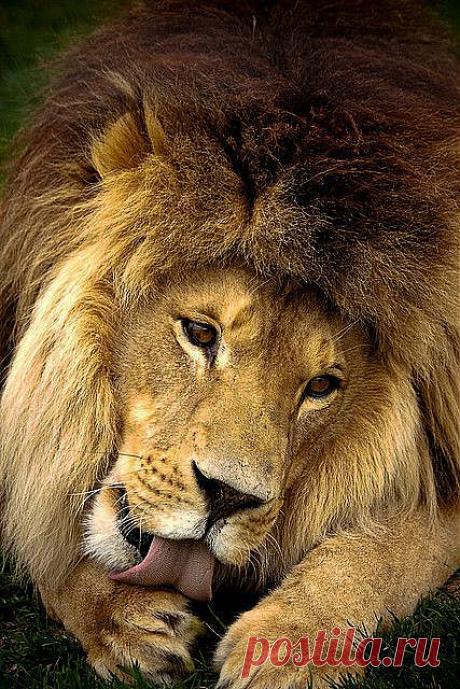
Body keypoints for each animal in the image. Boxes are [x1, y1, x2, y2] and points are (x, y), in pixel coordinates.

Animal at [0, 0, 459, 687]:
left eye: (321, 386)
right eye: (200, 333)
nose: (228, 498)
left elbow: (386, 552)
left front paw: (288, 644)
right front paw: (124, 620)